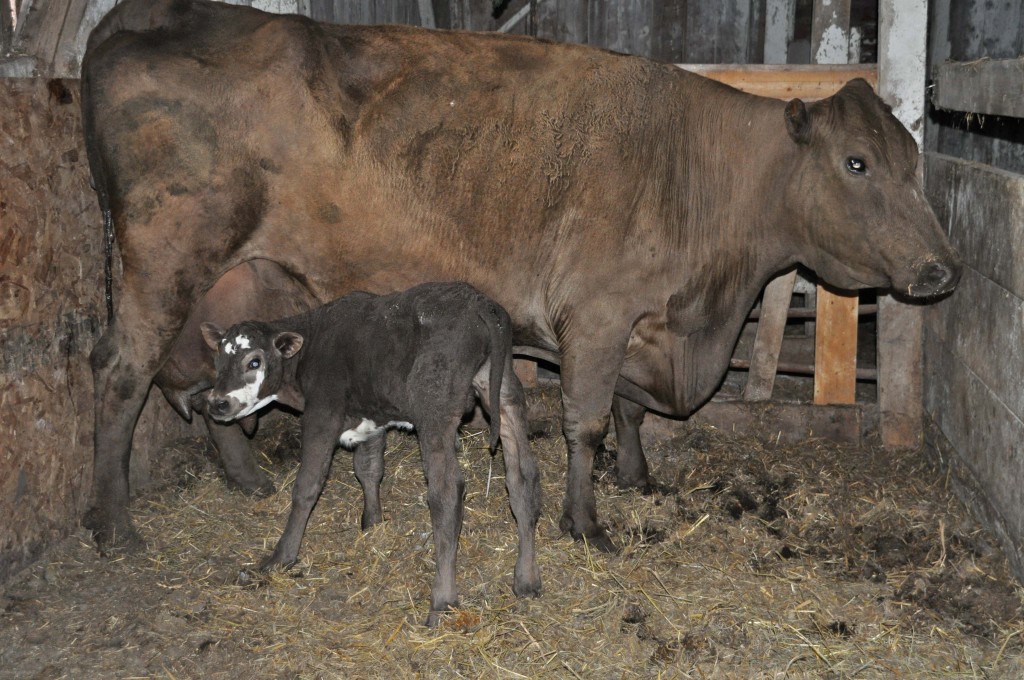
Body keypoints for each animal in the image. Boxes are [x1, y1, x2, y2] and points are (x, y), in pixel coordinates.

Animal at [79, 0, 958, 553]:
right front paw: (587, 523)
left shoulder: (636, 323)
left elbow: (628, 412)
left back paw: (244, 480)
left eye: (913, 158)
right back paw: (115, 527)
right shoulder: (597, 313)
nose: (942, 268)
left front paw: (637, 479)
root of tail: (150, 14)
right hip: (165, 257)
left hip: (236, 279)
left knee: (206, 378)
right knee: (122, 374)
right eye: (857, 162)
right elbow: (588, 418)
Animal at [194, 280, 540, 626]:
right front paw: (372, 522)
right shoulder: (371, 414)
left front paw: (282, 556)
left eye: (254, 362)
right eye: (219, 362)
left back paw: (442, 600)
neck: (311, 346)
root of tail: (478, 301)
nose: (217, 403)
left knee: (446, 493)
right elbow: (369, 468)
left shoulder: (323, 413)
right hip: (504, 388)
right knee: (522, 477)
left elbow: (307, 485)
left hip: (434, 407)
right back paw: (526, 579)